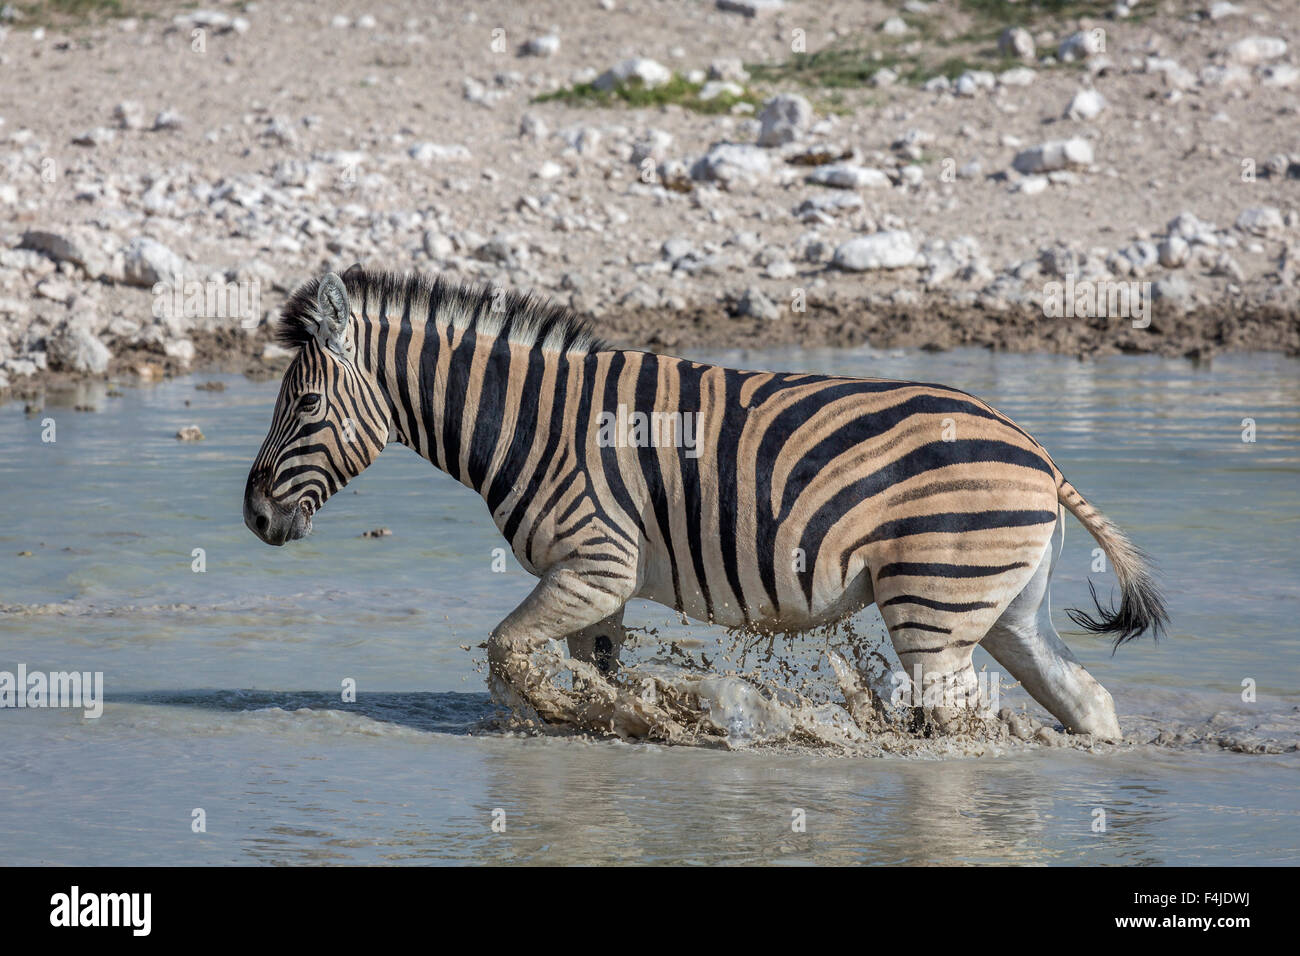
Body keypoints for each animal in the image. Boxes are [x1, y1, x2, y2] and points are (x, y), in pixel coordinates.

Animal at [245, 269, 1170, 738]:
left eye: (307, 407)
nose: (253, 517)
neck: (532, 420)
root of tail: (1039, 456)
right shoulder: (598, 587)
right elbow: (582, 673)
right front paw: (616, 720)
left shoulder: (593, 562)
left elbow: (508, 654)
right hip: (1005, 609)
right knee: (1083, 702)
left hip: (934, 608)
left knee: (959, 716)